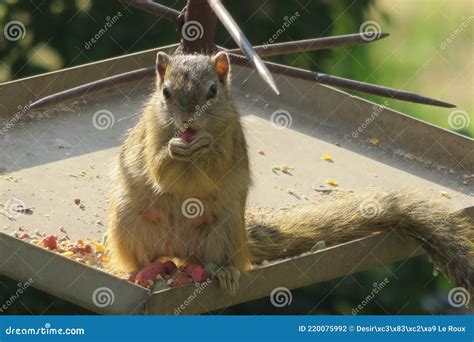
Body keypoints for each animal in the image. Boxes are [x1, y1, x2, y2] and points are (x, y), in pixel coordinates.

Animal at [105, 51, 472, 296]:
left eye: (212, 91)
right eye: (165, 93)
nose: (188, 122)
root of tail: (180, 253)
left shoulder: (231, 139)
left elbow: (216, 169)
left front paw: (205, 146)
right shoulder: (151, 133)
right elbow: (159, 169)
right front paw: (174, 150)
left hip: (224, 229)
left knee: (221, 261)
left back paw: (225, 273)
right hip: (129, 221)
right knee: (142, 257)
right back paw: (140, 272)